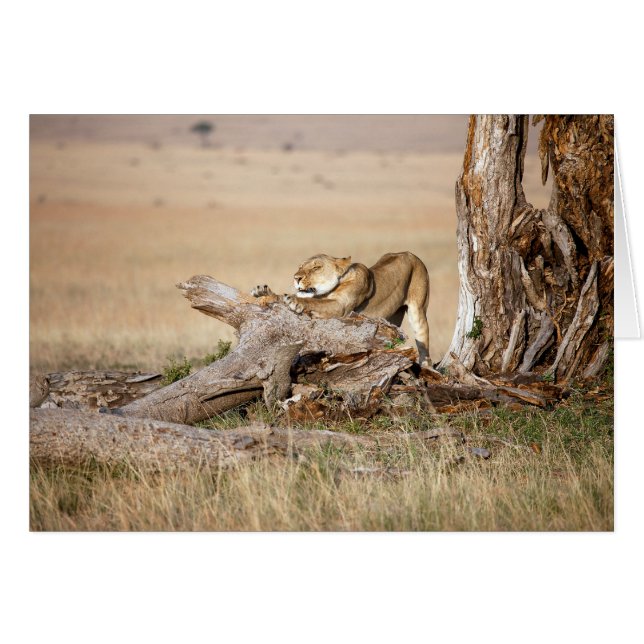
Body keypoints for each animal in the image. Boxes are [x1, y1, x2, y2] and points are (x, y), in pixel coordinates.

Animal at [251, 251, 431, 367]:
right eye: (300, 267)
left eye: (316, 268)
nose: (296, 278)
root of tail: (409, 253)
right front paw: (264, 293)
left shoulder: (340, 306)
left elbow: (311, 302)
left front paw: (294, 301)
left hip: (418, 312)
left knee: (424, 346)